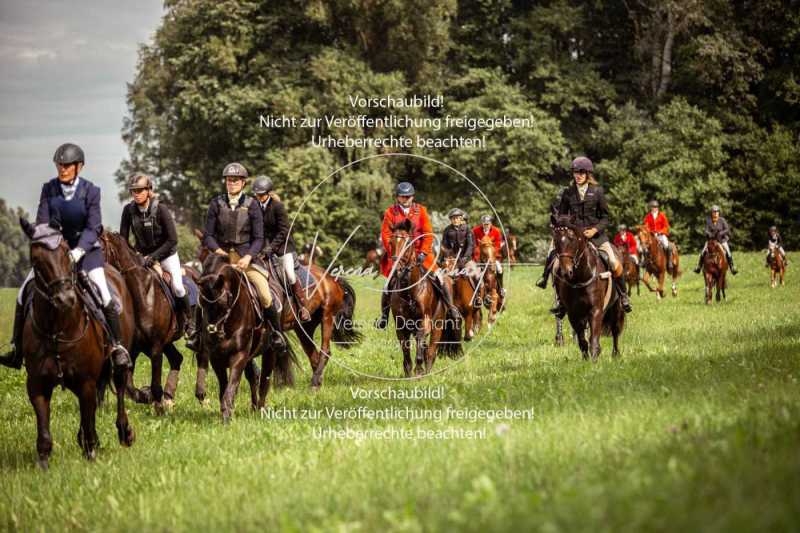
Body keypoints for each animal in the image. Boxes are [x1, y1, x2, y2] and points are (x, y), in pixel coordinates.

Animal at [17, 220, 135, 466]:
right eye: (36, 259)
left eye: (66, 254)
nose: (65, 299)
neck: (57, 329)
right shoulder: (37, 384)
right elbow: (44, 429)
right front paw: (43, 464)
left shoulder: (86, 382)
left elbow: (89, 418)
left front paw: (90, 453)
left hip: (116, 363)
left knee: (119, 386)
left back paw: (124, 432)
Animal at [98, 232, 188, 412]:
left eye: (101, 249)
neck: (141, 293)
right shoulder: (134, 348)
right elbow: (129, 387)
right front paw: (147, 396)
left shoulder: (155, 346)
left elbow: (154, 384)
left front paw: (157, 406)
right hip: (166, 343)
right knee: (177, 359)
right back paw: (169, 397)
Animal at [552, 214, 624, 360]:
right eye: (555, 240)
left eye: (572, 239)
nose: (566, 272)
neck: (580, 277)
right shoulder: (574, 313)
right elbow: (582, 340)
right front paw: (585, 359)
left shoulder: (595, 310)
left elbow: (594, 339)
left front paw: (594, 358)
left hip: (616, 307)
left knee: (615, 330)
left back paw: (616, 354)